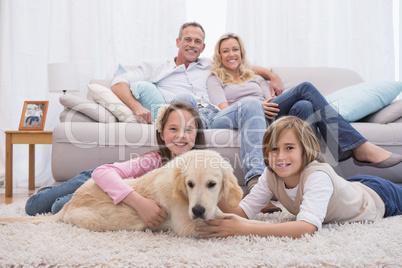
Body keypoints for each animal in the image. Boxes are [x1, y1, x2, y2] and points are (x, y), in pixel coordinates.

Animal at [0, 150, 242, 238]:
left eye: (212, 184)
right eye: (189, 184)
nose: (198, 210)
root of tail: (70, 204)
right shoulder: (185, 225)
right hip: (93, 220)